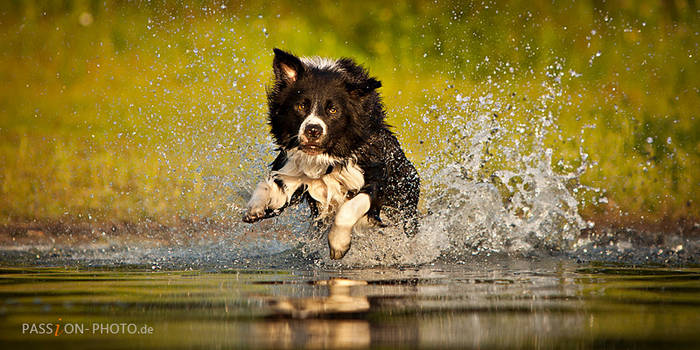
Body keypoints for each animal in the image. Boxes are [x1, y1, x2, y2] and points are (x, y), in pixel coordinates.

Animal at [243, 47, 418, 258]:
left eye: (333, 110)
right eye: (301, 106)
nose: (313, 130)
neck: (323, 158)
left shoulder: (376, 176)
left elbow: (350, 207)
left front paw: (338, 243)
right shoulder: (292, 170)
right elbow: (267, 186)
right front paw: (254, 208)